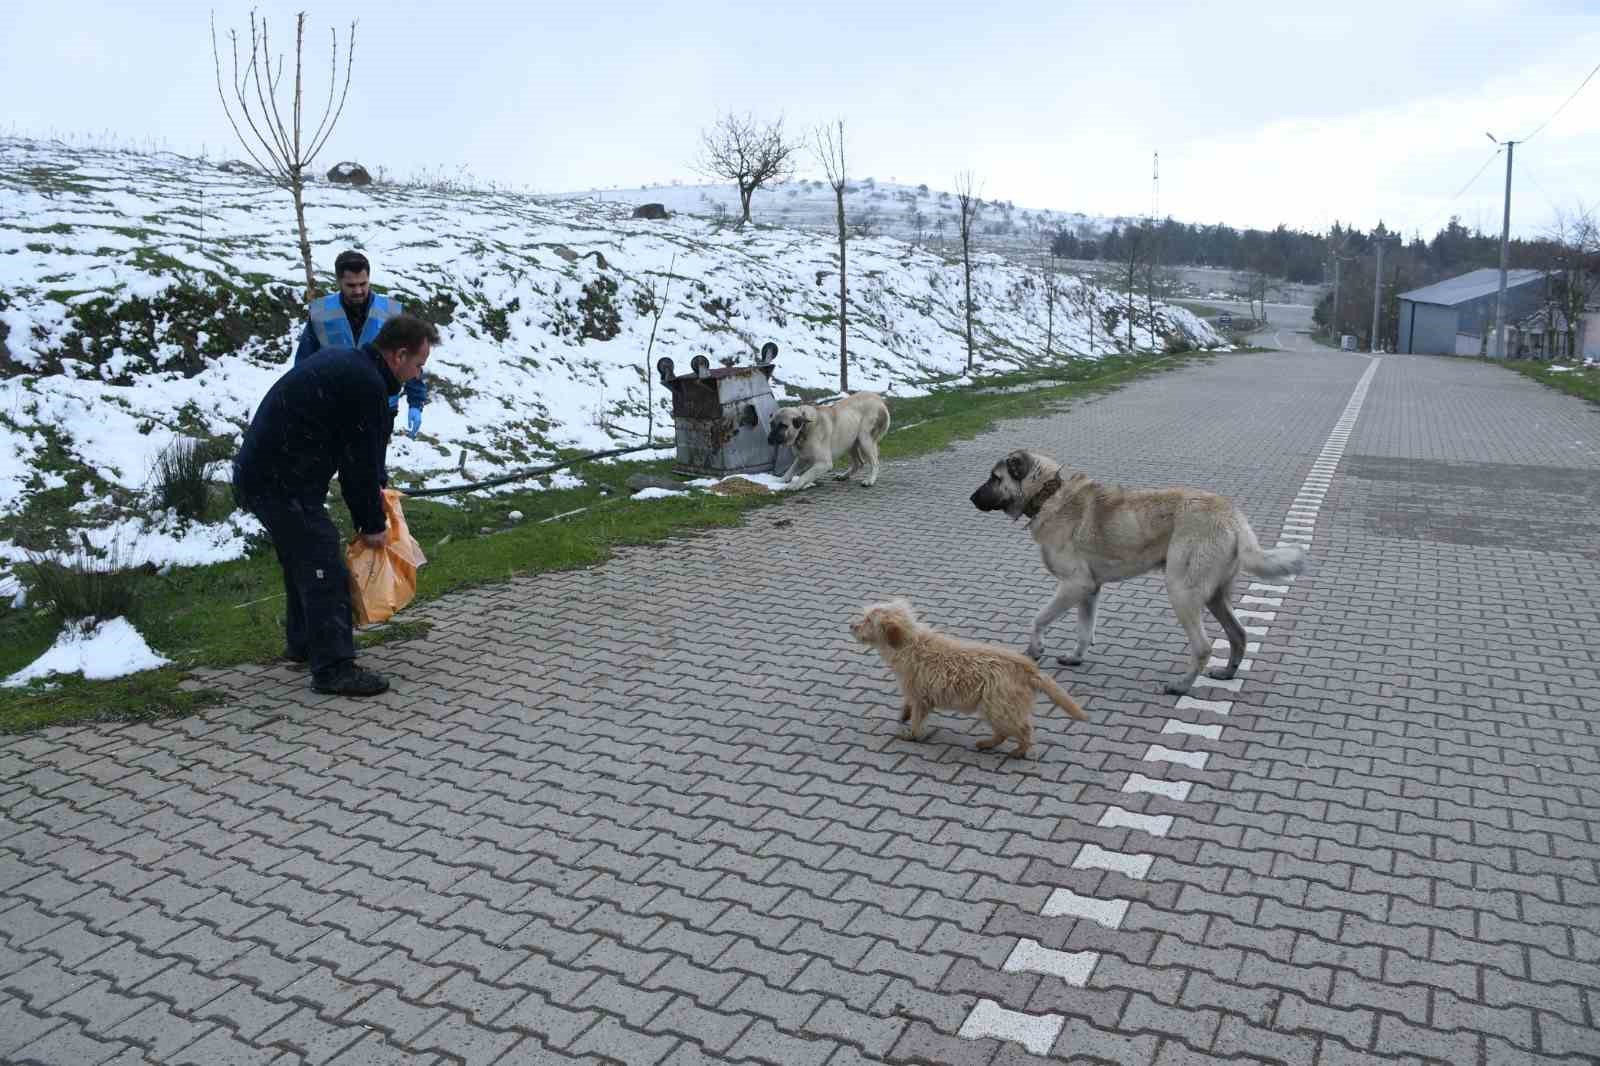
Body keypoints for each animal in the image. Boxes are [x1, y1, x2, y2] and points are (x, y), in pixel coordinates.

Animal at [768, 390, 896, 489]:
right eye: (771, 424)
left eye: (783, 426)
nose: (769, 439)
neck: (804, 430)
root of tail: (879, 399)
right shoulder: (801, 458)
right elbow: (790, 471)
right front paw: (779, 481)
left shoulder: (824, 463)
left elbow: (806, 475)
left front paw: (794, 485)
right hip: (850, 441)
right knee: (859, 463)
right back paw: (844, 476)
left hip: (865, 439)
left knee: (875, 463)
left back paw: (870, 480)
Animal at [851, 598, 1088, 755]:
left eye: (868, 620)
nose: (851, 625)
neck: (910, 643)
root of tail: (1028, 668)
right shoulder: (915, 693)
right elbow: (908, 706)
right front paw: (903, 715)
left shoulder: (920, 697)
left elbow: (918, 720)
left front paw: (911, 735)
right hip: (996, 707)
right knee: (1005, 732)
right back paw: (988, 744)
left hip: (998, 706)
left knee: (1023, 729)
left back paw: (1019, 751)